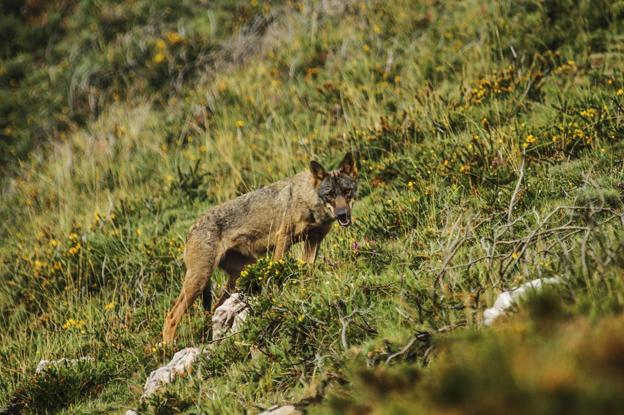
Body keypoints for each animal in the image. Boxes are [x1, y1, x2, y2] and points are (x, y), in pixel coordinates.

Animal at [163, 153, 358, 344]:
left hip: (234, 278)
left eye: (347, 192)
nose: (343, 215)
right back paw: (167, 348)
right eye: (330, 195)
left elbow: (307, 271)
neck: (308, 199)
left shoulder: (313, 241)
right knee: (171, 317)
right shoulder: (283, 238)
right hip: (200, 280)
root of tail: (190, 229)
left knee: (215, 310)